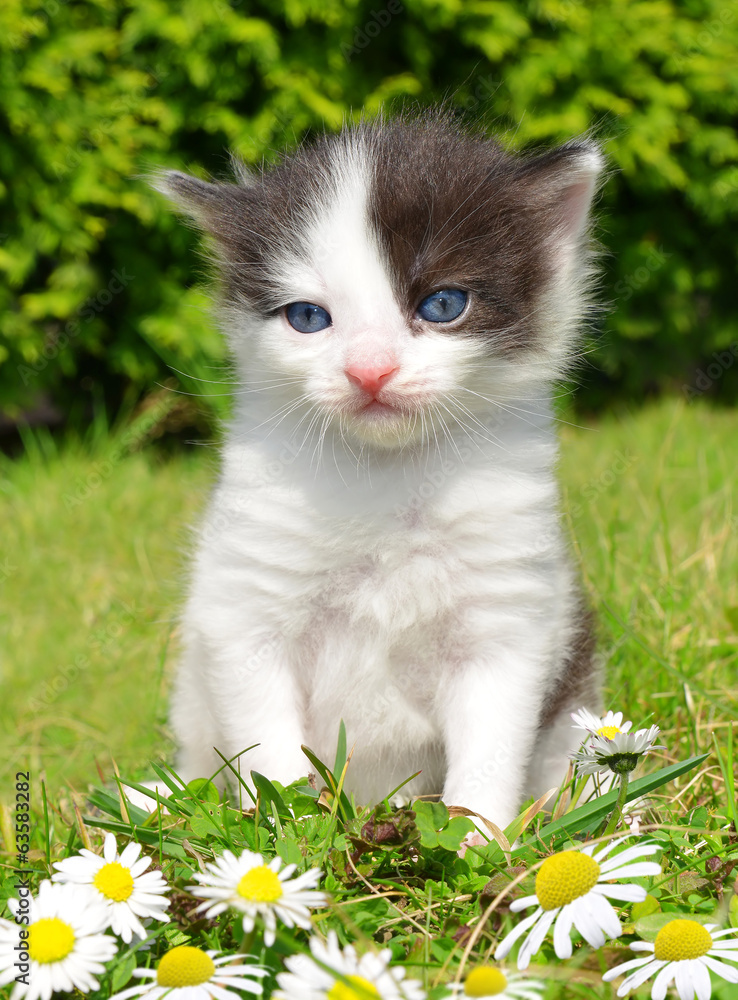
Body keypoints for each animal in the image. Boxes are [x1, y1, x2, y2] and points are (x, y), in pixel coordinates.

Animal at [152, 109, 600, 832]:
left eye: (443, 305)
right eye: (308, 317)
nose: (370, 371)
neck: (385, 477)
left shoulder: (507, 620)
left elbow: (491, 747)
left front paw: (477, 841)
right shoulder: (242, 605)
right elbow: (268, 747)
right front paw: (291, 837)